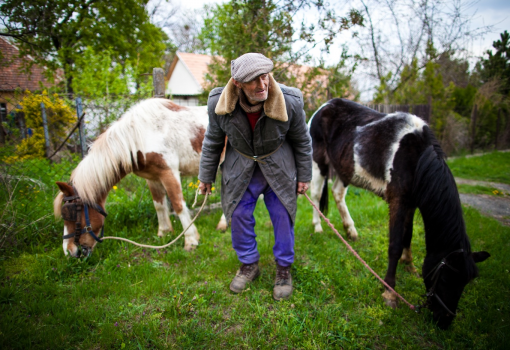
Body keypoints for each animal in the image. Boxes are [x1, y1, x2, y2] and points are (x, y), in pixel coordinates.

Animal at [52, 98, 226, 258]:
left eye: (73, 215)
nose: (69, 251)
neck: (141, 135)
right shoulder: (153, 177)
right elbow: (159, 205)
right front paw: (164, 233)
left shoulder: (169, 173)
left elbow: (178, 205)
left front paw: (190, 241)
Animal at [308, 98, 492, 328]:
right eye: (446, 277)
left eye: (466, 282)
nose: (444, 321)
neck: (418, 158)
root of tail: (325, 105)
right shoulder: (398, 200)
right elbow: (395, 244)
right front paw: (390, 293)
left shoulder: (412, 203)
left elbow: (408, 235)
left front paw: (410, 265)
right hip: (319, 161)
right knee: (315, 194)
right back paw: (318, 228)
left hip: (345, 167)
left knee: (337, 193)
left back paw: (351, 231)